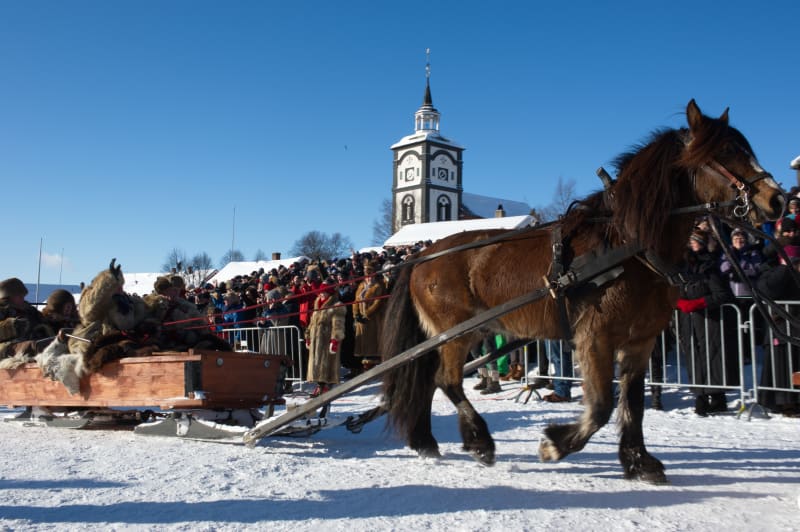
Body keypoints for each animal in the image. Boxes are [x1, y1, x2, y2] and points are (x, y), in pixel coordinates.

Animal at [378, 98, 784, 482]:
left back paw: (427, 442)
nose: (777, 199)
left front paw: (638, 461)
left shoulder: (641, 340)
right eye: (726, 151)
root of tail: (425, 254)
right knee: (445, 380)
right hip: (454, 333)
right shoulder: (596, 337)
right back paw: (479, 441)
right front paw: (555, 444)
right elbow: (603, 405)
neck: (629, 246)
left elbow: (632, 403)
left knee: (427, 381)